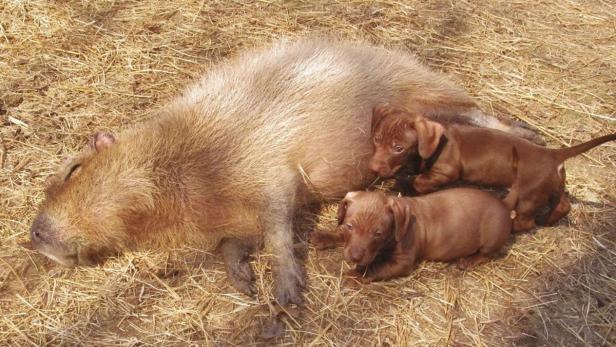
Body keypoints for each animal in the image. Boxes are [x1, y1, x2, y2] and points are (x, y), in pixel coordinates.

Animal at [368, 104, 612, 232]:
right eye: (377, 139)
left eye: (398, 148)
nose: (373, 167)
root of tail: (553, 154)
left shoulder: (446, 171)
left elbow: (421, 181)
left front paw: (405, 185)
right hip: (552, 187)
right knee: (563, 206)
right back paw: (547, 220)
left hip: (529, 196)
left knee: (525, 221)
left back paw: (511, 226)